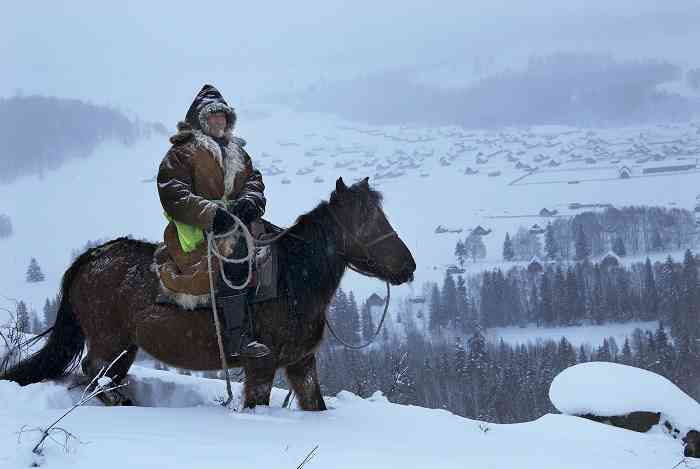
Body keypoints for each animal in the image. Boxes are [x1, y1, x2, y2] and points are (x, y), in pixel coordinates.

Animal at [1, 176, 416, 410]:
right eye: (365, 221)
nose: (408, 268)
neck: (291, 279)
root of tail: (94, 257)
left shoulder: (301, 364)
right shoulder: (261, 366)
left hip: (125, 348)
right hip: (107, 342)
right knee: (94, 375)